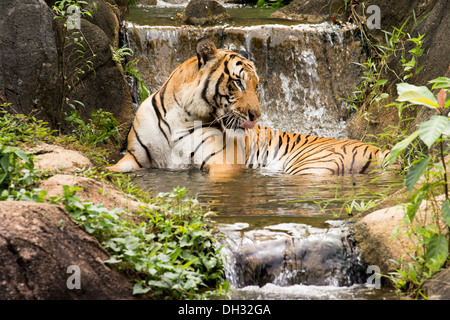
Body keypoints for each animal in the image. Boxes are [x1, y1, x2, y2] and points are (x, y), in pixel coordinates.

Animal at [108, 39, 390, 178]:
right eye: (238, 82)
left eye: (256, 86)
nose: (257, 115)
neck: (182, 115)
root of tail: (380, 149)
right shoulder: (134, 157)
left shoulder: (222, 163)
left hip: (309, 166)